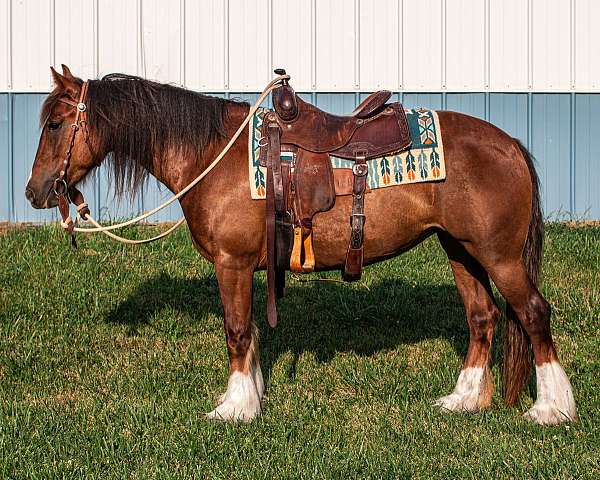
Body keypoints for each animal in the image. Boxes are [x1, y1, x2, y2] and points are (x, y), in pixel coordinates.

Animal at [25, 65, 580, 426]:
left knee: (534, 313)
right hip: (460, 250)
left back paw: (551, 409)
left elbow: (236, 332)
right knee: (483, 317)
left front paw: (235, 408)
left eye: (54, 123)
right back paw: (462, 400)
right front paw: (251, 396)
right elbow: (251, 332)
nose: (34, 192)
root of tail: (510, 145)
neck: (212, 154)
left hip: (500, 257)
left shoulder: (231, 264)